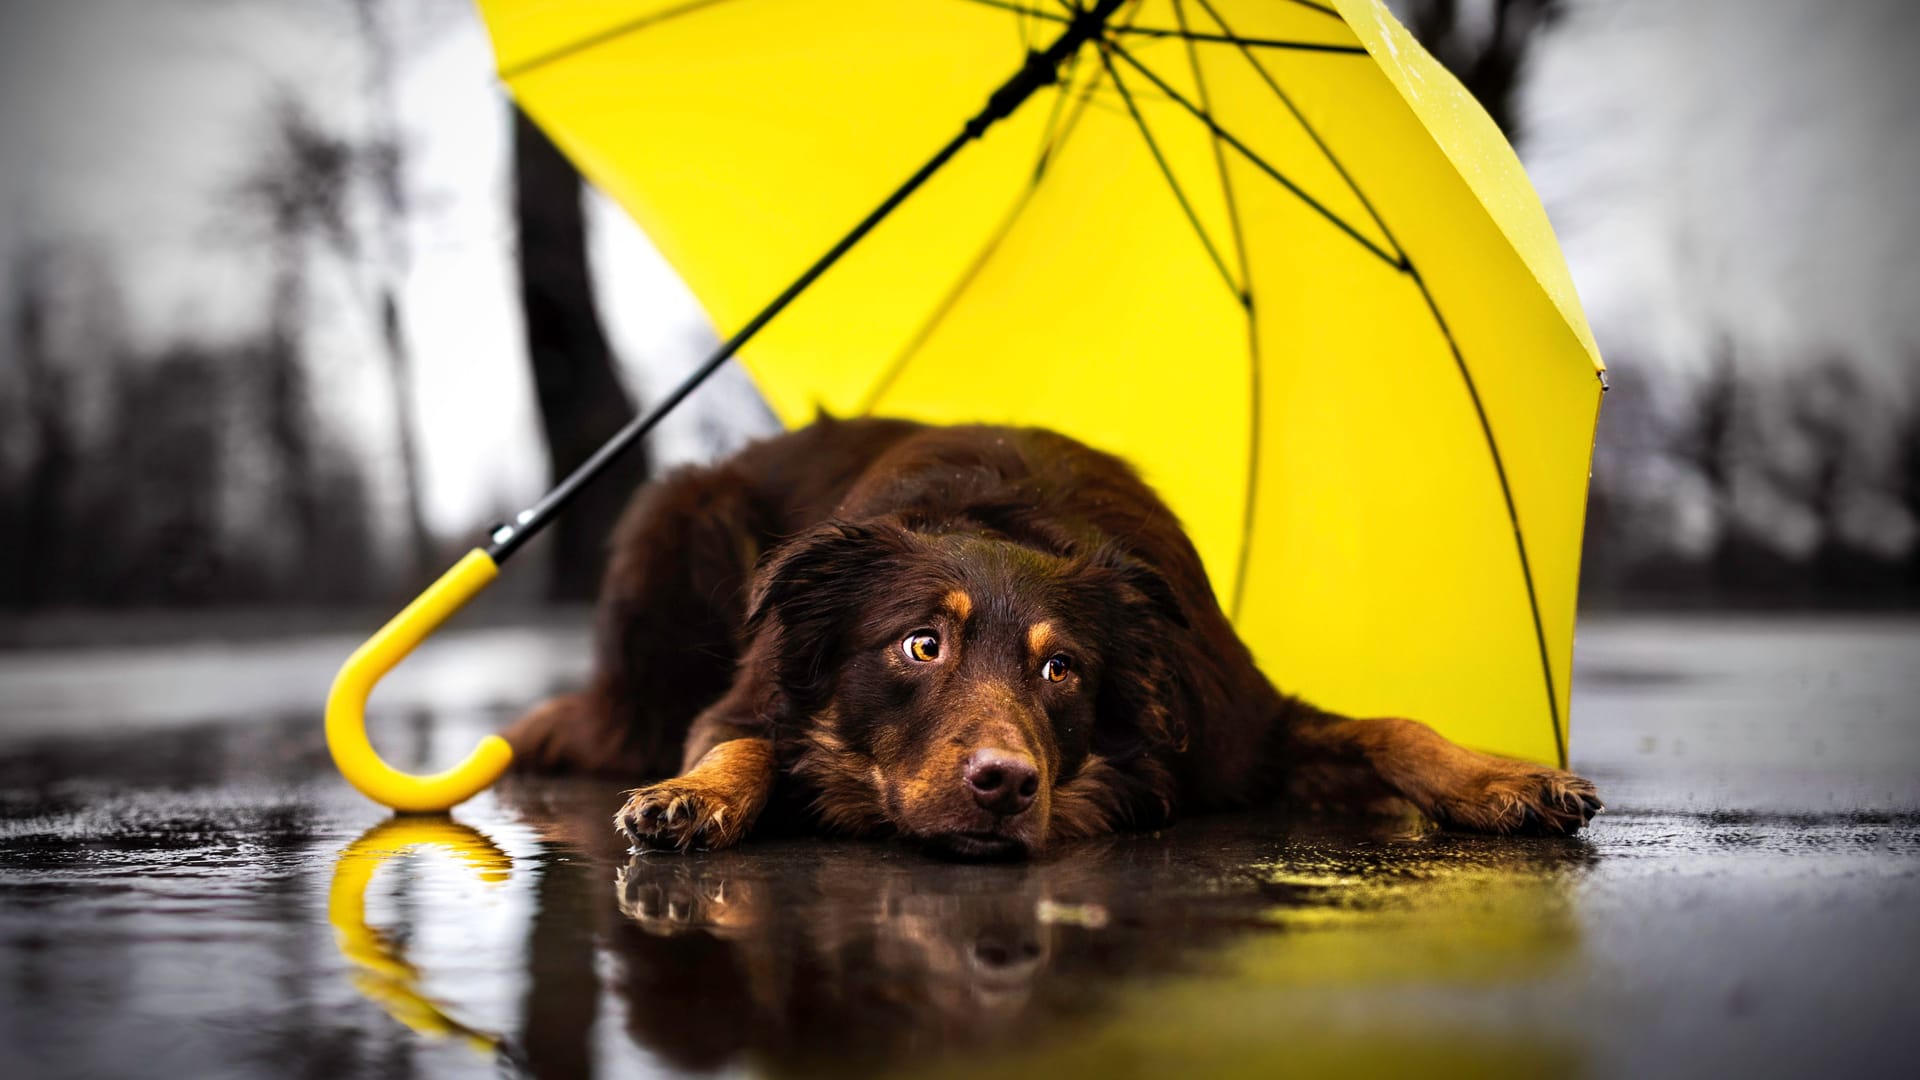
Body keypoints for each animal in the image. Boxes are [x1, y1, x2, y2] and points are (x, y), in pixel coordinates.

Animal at [503, 413, 1597, 857]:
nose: (1004, 786)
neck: (1005, 519)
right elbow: (743, 741)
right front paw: (697, 797)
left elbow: (1389, 727)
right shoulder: (752, 687)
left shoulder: (1240, 724)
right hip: (679, 518)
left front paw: (1502, 779)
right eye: (921, 647)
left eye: (1061, 668)